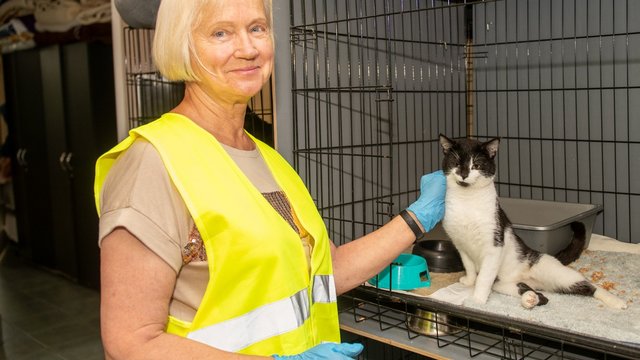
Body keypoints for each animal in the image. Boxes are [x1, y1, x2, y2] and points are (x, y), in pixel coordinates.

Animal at [438, 135, 628, 310]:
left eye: (476, 165)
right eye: (456, 162)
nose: (464, 174)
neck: (467, 202)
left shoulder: (494, 244)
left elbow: (484, 278)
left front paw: (476, 300)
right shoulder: (460, 244)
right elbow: (469, 265)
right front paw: (469, 281)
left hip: (552, 271)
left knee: (586, 285)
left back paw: (616, 301)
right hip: (503, 285)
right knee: (539, 295)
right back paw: (530, 298)